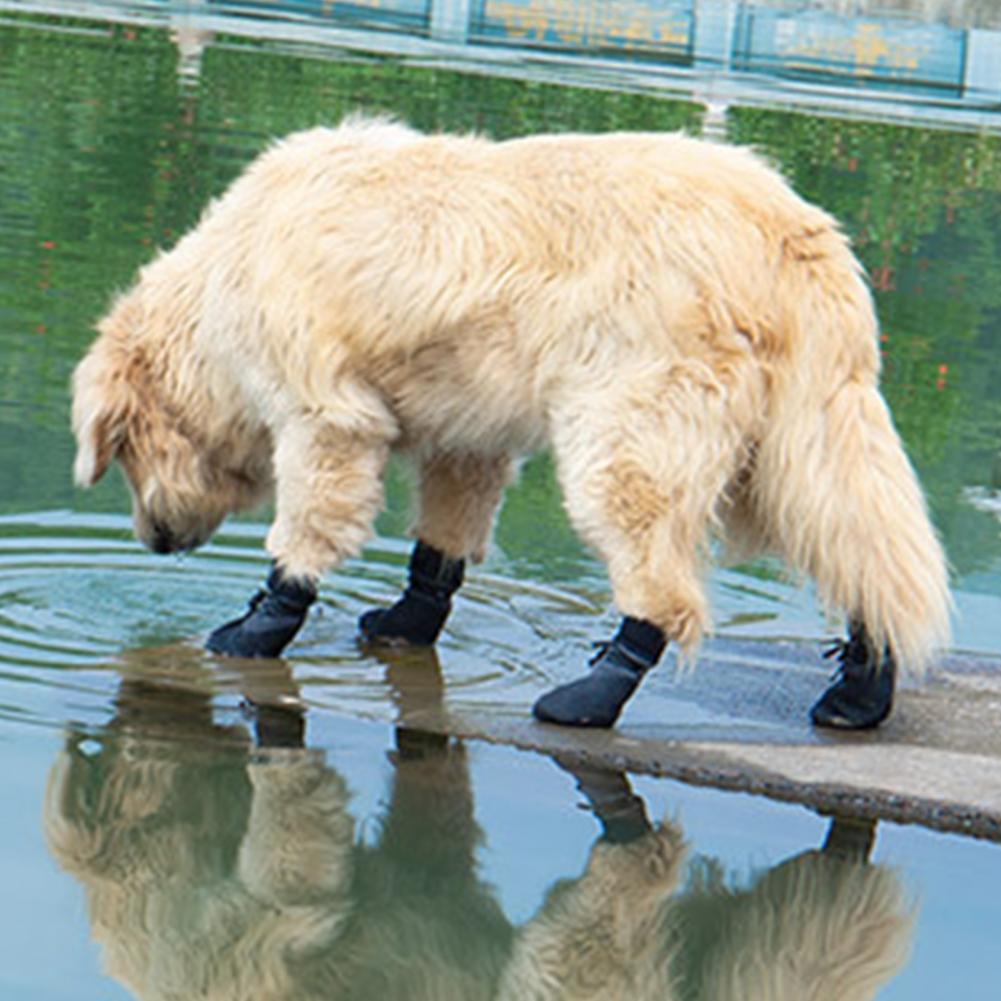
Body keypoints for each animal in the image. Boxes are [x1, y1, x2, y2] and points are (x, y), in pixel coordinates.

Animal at [72, 115, 952, 728]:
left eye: (120, 456)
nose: (155, 542)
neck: (214, 292)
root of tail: (790, 235)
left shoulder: (321, 395)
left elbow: (317, 502)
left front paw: (256, 623)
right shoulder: (466, 407)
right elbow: (449, 518)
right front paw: (403, 617)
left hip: (644, 381)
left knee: (646, 527)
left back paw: (592, 690)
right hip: (805, 395)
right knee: (847, 515)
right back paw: (861, 686)